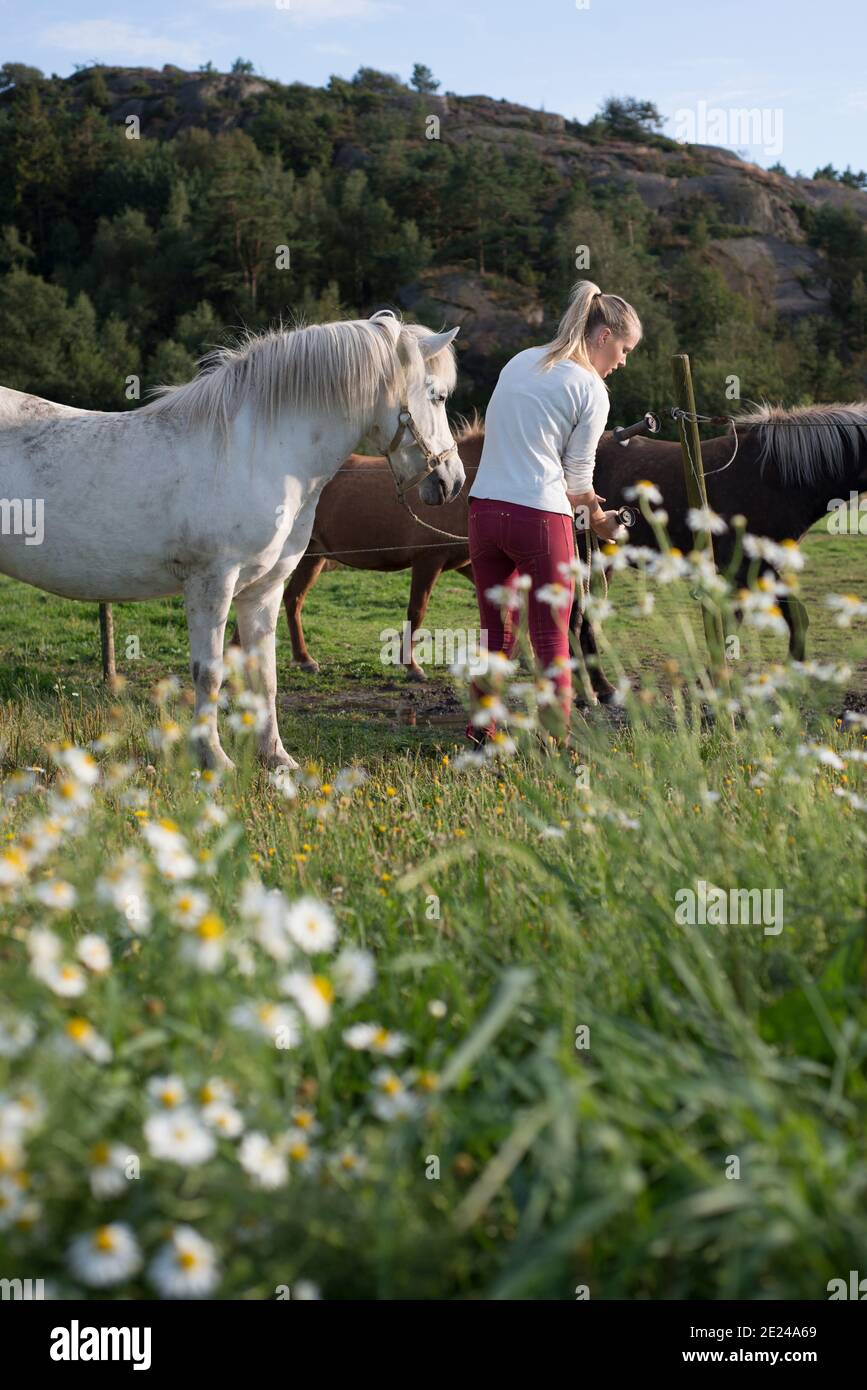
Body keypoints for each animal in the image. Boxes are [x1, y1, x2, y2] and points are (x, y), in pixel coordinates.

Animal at [0, 312, 466, 772]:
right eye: (438, 396)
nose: (453, 480)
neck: (254, 455)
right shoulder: (212, 582)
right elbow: (208, 672)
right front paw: (214, 758)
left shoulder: (264, 588)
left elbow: (266, 675)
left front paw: (276, 756)